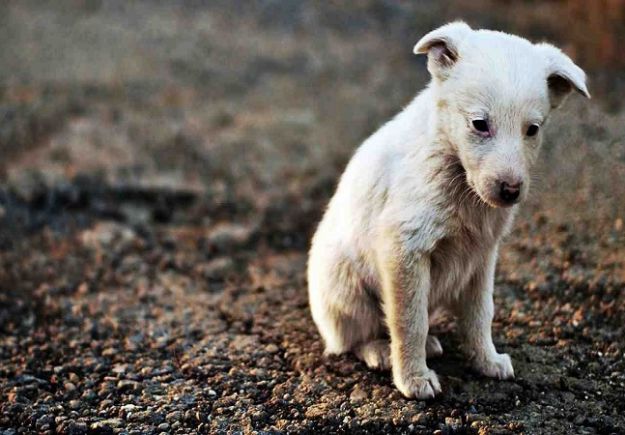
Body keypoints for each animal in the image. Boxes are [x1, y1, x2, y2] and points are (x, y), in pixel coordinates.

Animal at [308, 22, 588, 400]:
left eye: (532, 130)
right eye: (479, 124)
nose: (511, 191)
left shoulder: (482, 256)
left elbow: (480, 314)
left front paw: (487, 361)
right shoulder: (405, 249)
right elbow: (409, 320)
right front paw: (414, 379)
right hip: (344, 286)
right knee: (353, 337)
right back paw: (380, 350)